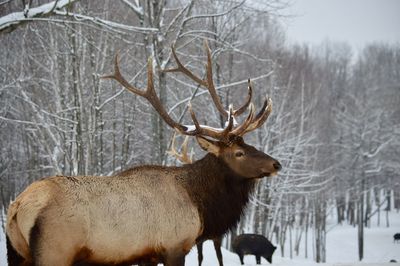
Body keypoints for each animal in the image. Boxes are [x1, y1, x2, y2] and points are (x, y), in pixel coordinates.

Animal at [6, 42, 282, 266]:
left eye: (249, 145)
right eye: (239, 152)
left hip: (17, 254)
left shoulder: (146, 254)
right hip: (55, 250)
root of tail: (18, 205)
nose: (276, 164)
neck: (199, 203)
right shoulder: (174, 245)